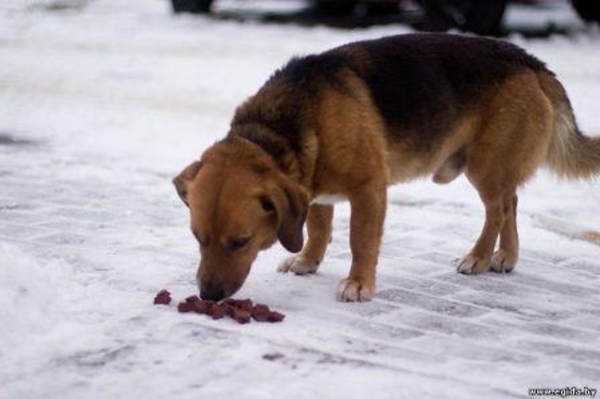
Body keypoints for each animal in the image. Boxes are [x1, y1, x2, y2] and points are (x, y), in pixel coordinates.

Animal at [172, 34, 600, 304]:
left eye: (240, 242)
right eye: (196, 237)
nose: (207, 296)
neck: (279, 132)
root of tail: (530, 61)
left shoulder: (368, 189)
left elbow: (360, 241)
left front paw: (358, 283)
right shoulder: (314, 190)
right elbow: (318, 228)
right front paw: (308, 261)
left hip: (485, 167)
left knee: (497, 209)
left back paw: (478, 257)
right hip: (494, 167)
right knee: (511, 203)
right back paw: (506, 257)